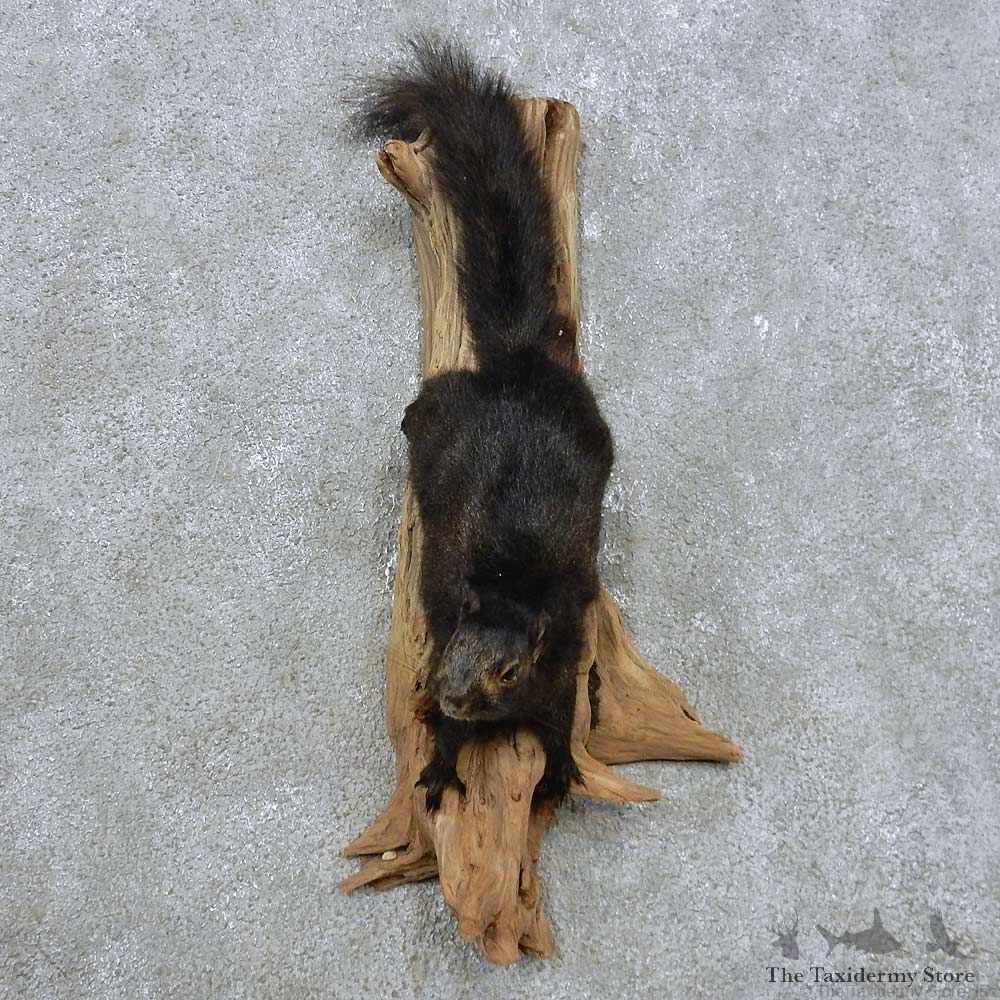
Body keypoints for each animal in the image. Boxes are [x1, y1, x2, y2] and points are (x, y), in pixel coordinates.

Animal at [358, 37, 614, 811]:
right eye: (450, 649)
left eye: (506, 671)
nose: (449, 691)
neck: (509, 589)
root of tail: (518, 366)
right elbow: (443, 737)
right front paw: (440, 768)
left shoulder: (563, 660)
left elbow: (560, 723)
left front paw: (557, 774)